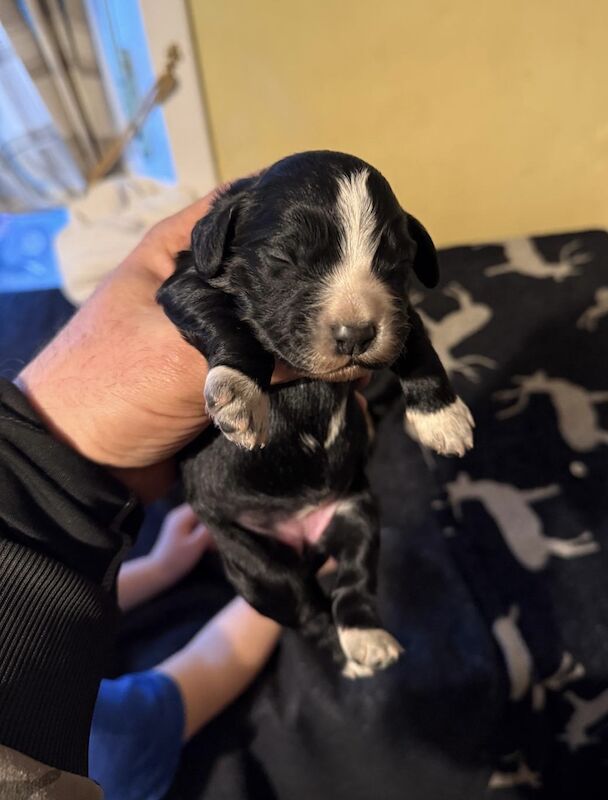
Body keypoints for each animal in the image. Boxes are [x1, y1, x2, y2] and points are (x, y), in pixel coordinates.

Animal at [156, 150, 470, 676]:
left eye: (393, 262)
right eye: (285, 259)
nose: (356, 334)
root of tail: (304, 541)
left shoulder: (399, 311)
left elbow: (417, 345)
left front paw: (441, 416)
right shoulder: (184, 284)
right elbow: (230, 323)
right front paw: (239, 392)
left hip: (354, 512)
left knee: (353, 582)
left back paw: (366, 638)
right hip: (252, 563)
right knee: (305, 608)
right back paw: (346, 658)